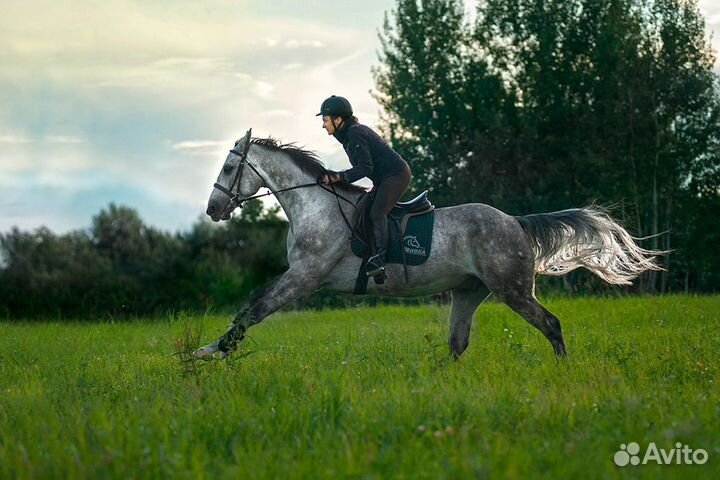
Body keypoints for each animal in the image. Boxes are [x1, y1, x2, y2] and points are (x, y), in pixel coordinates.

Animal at [193, 129, 664, 362]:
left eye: (231, 166)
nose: (213, 209)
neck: (314, 205)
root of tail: (514, 222)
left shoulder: (305, 277)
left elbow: (255, 310)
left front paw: (208, 352)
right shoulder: (299, 276)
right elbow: (251, 304)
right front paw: (211, 350)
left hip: (512, 289)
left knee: (550, 324)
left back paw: (563, 370)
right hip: (469, 291)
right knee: (457, 344)